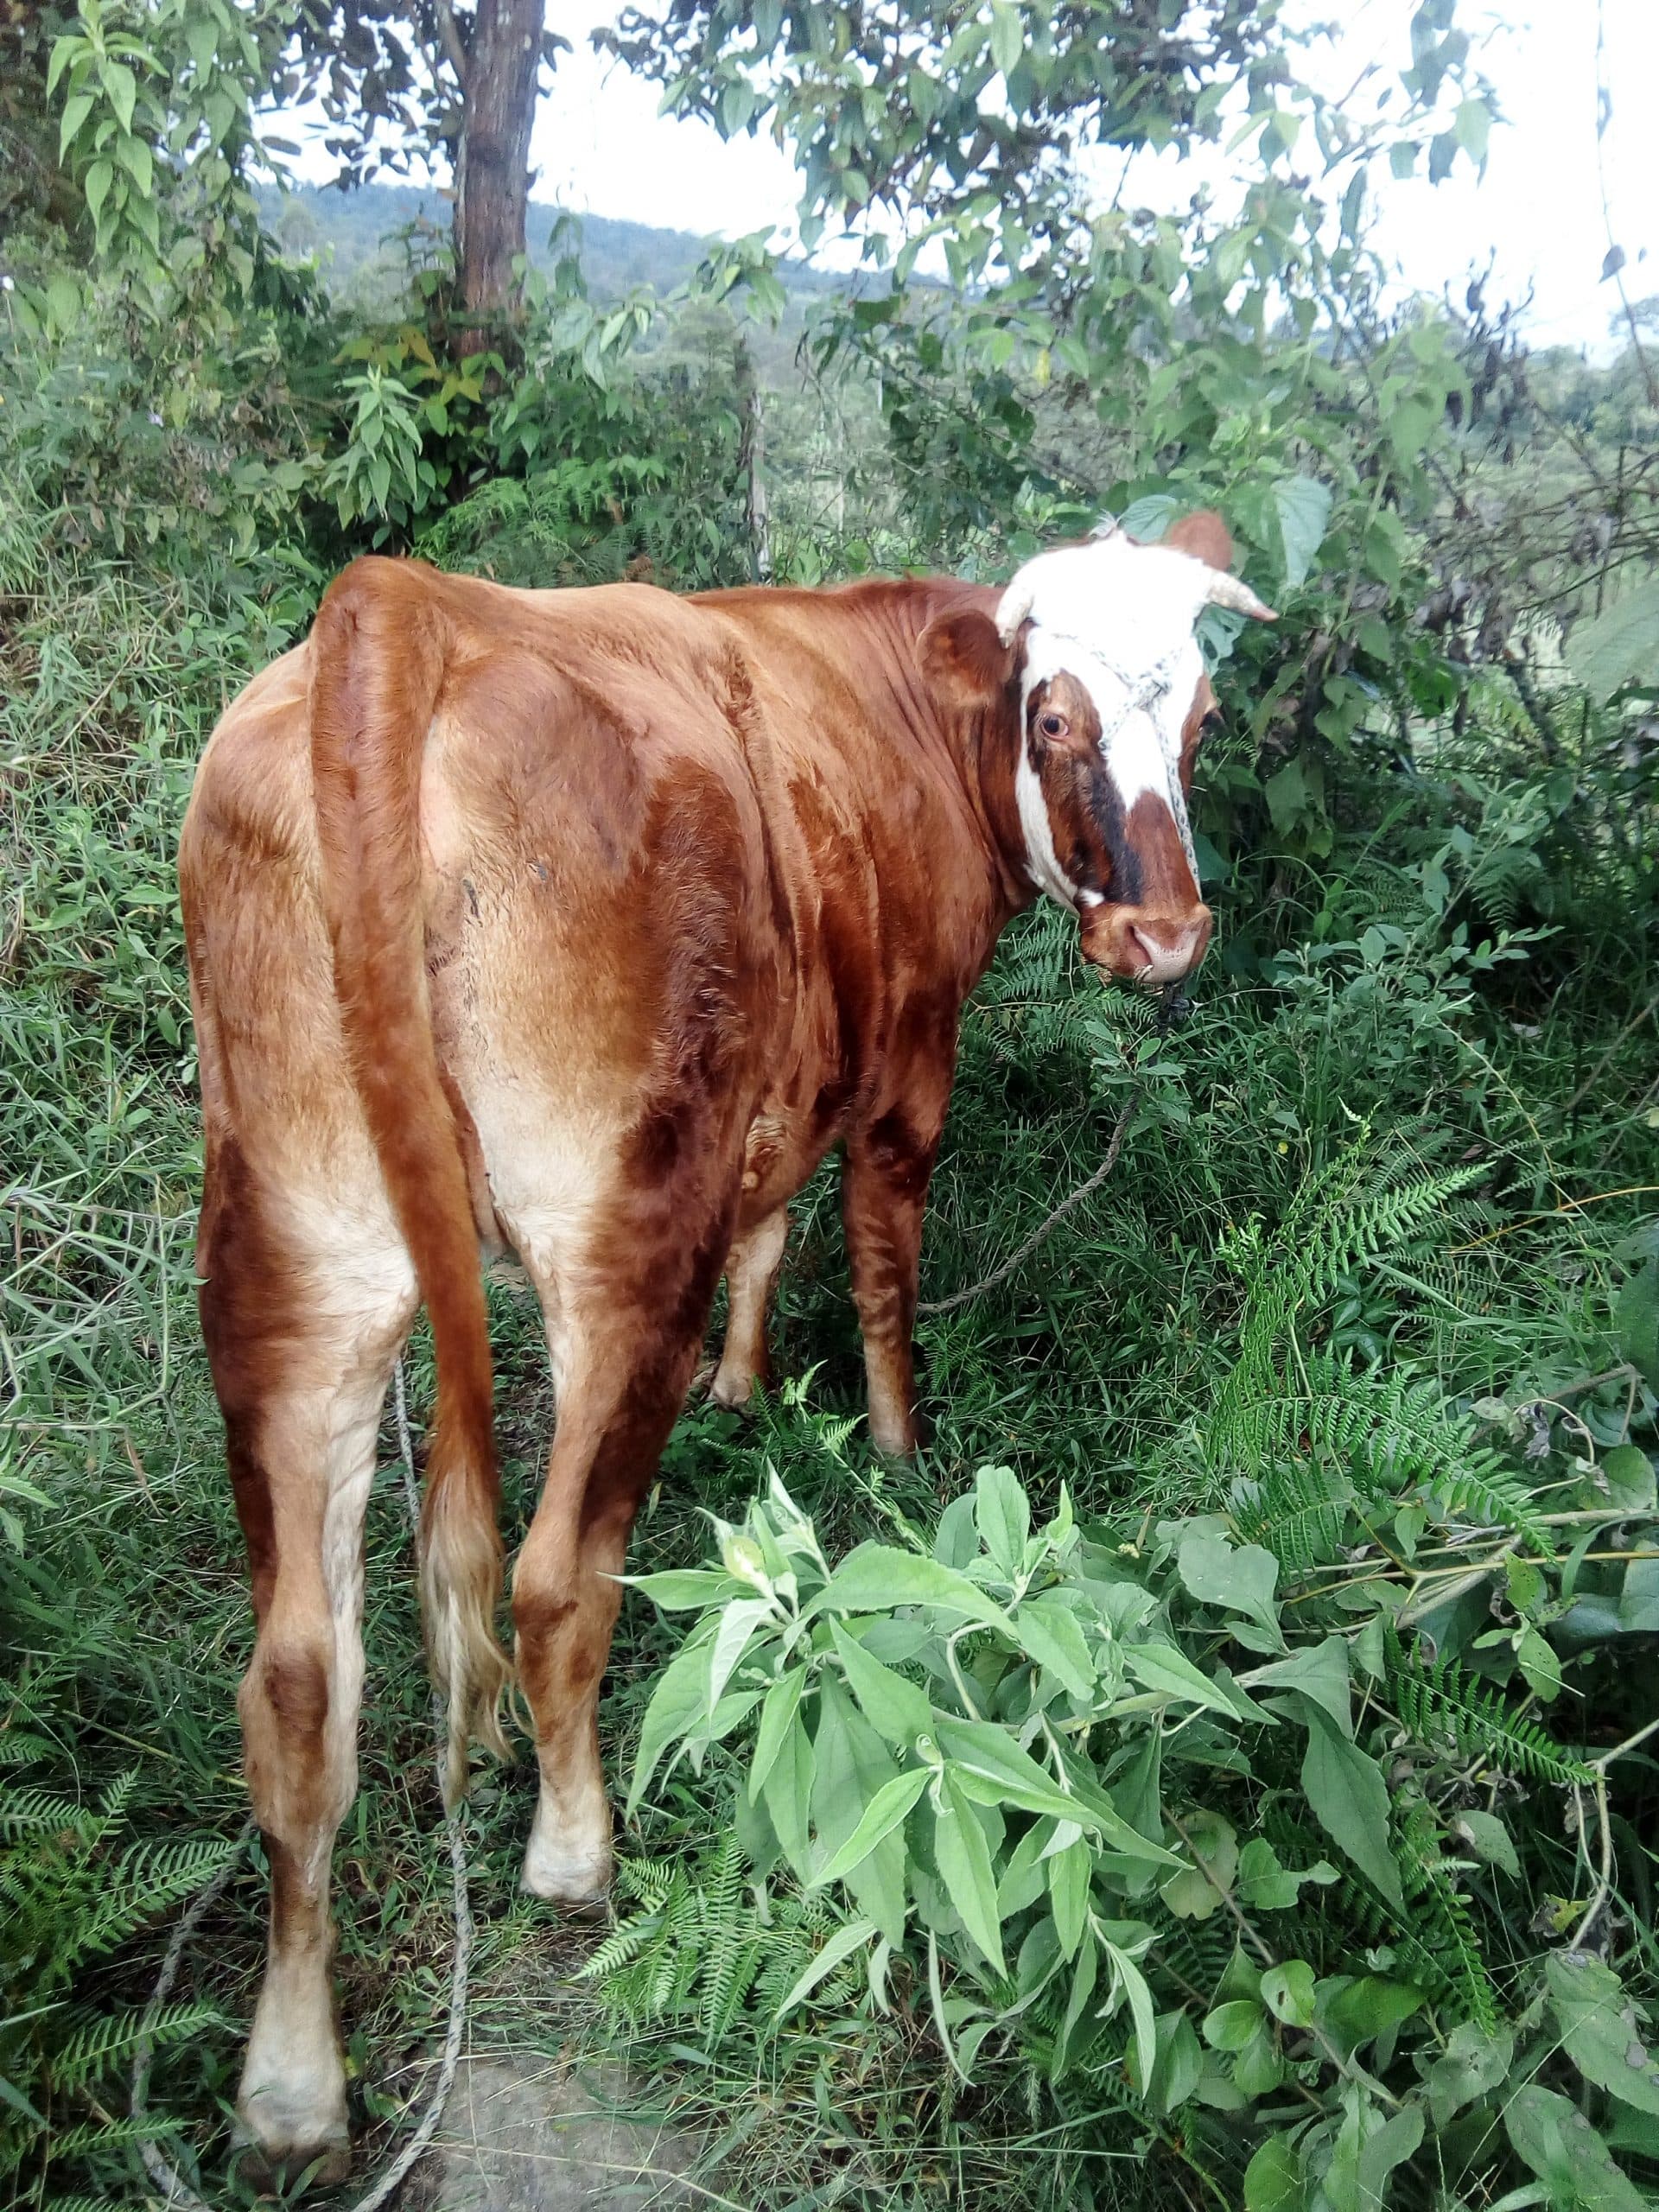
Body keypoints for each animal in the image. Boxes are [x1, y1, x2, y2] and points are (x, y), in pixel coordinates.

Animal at [178, 512, 1273, 2179]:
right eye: (1057, 719)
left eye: (1203, 719)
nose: (1165, 936)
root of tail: (404, 609)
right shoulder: (909, 1052)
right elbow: (877, 1258)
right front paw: (895, 1450)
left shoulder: (791, 1081)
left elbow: (775, 1221)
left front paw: (748, 1390)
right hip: (623, 1228)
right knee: (555, 1576)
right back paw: (575, 1855)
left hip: (297, 1264)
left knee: (301, 1681)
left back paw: (293, 2089)